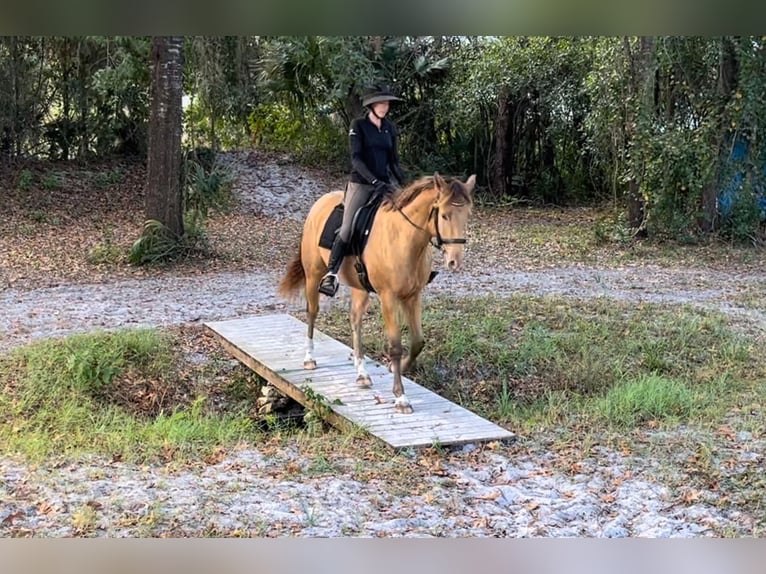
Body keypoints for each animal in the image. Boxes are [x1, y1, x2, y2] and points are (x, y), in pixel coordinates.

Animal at [280, 172, 476, 414]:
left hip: (359, 288)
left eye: (467, 215)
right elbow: (395, 346)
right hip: (314, 274)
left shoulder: (413, 296)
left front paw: (397, 368)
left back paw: (362, 374)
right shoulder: (388, 297)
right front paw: (401, 398)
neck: (404, 238)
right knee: (312, 312)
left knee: (355, 320)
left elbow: (417, 342)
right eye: (445, 215)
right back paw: (309, 358)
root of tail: (320, 201)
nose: (455, 262)